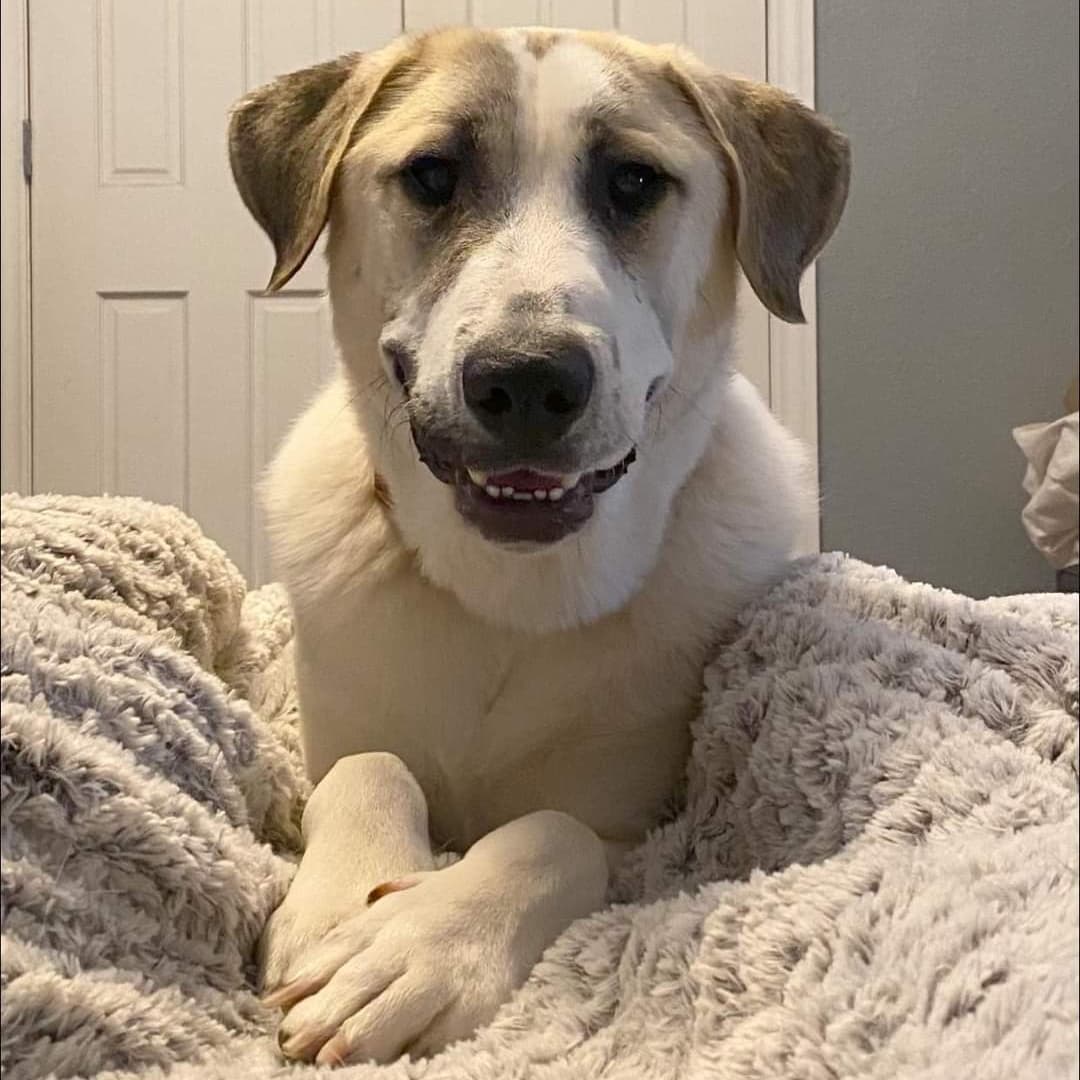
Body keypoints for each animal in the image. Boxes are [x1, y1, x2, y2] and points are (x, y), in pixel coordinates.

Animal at [230, 23, 851, 1062]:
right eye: (433, 176)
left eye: (635, 182)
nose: (526, 379)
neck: (508, 596)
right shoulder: (324, 747)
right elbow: (367, 769)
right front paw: (336, 908)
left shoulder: (643, 832)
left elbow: (550, 832)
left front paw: (413, 946)